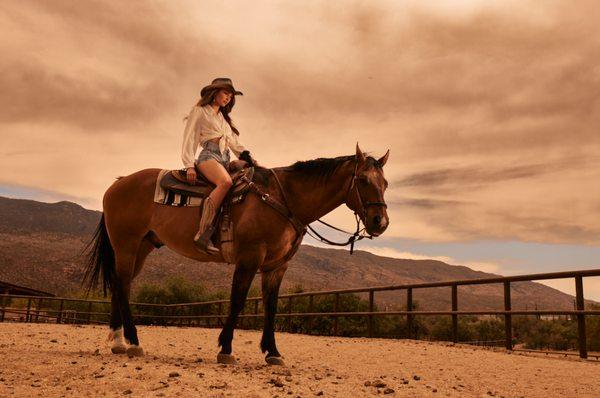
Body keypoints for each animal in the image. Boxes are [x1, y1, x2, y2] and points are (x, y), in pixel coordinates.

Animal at [84, 145, 392, 366]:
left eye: (386, 183)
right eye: (362, 179)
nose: (380, 222)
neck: (283, 198)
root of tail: (118, 184)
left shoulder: (276, 267)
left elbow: (271, 306)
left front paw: (273, 352)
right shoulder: (249, 258)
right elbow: (238, 300)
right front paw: (226, 349)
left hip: (142, 247)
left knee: (120, 283)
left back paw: (118, 342)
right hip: (127, 245)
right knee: (122, 284)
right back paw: (134, 342)